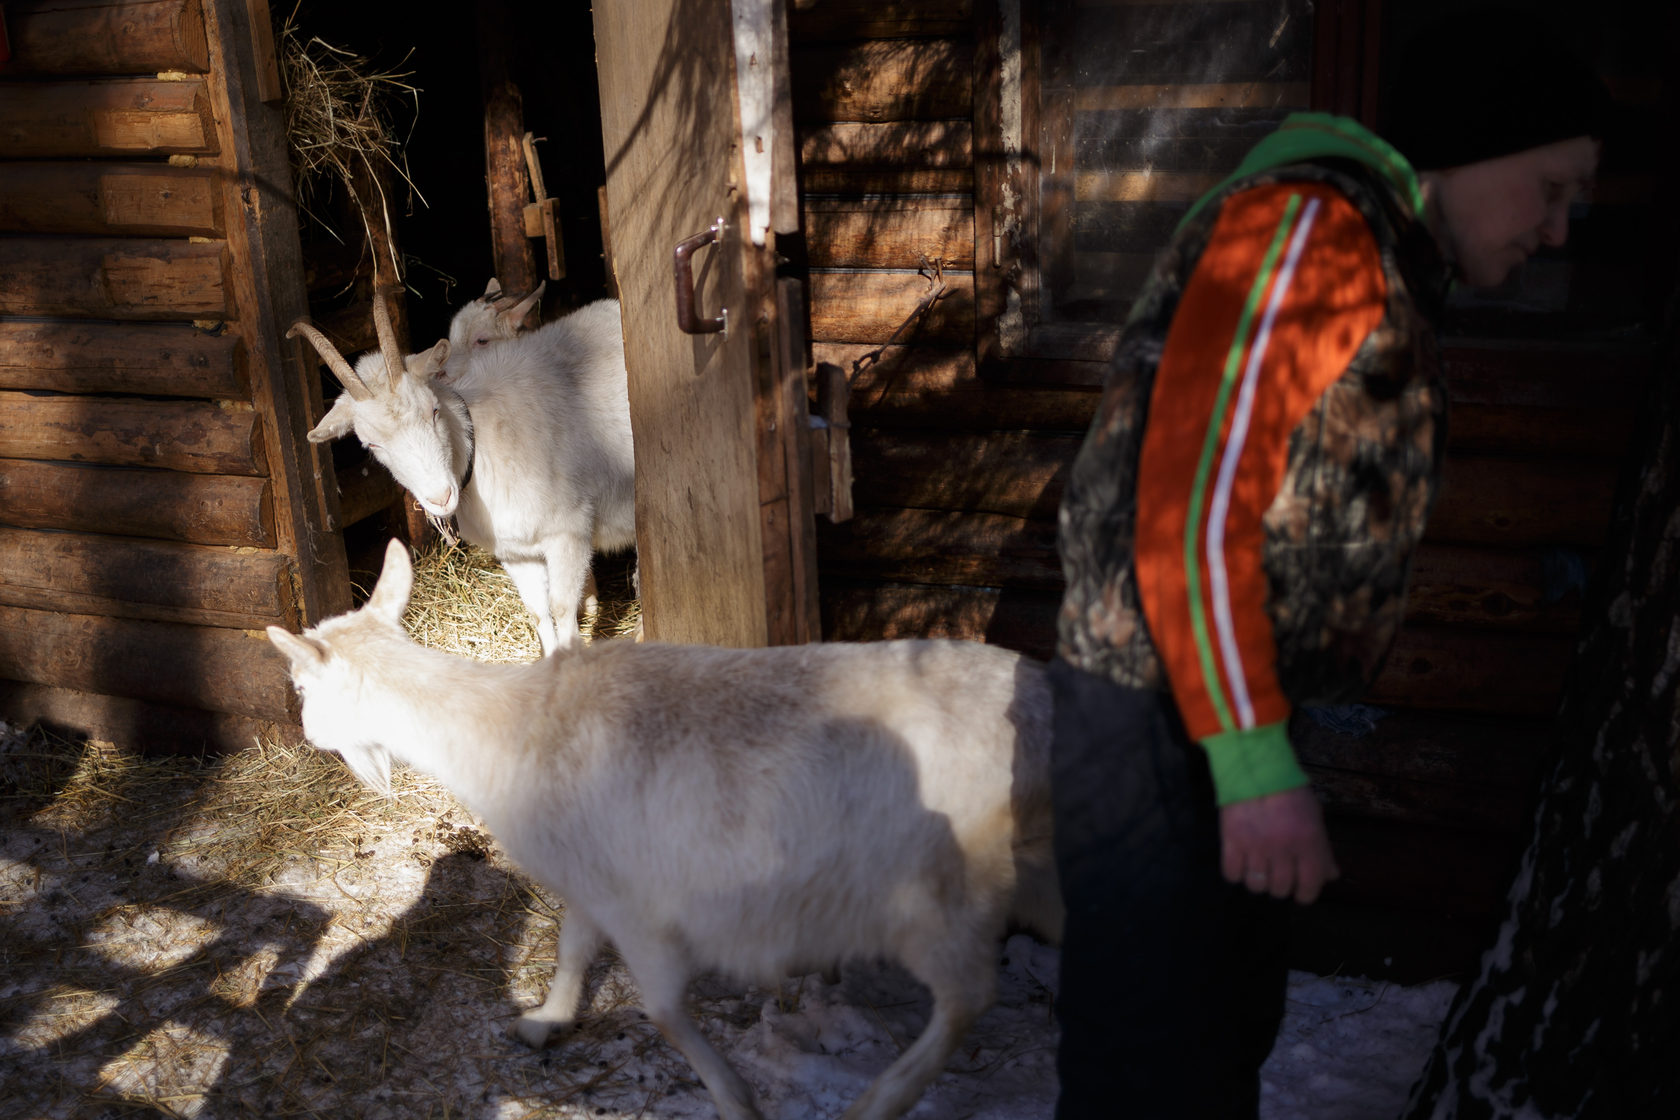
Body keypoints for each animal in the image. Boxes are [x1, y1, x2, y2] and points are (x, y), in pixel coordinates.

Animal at [285, 287, 631, 658]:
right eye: (371, 444)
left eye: (434, 410)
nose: (440, 497)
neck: (481, 446)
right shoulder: (515, 550)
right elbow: (538, 612)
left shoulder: (570, 531)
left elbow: (563, 609)